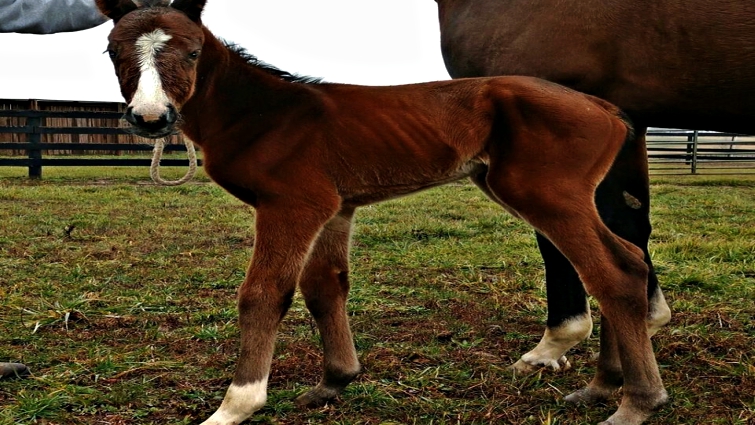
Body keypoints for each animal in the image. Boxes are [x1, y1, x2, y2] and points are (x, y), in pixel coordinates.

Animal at [95, 1, 667, 424]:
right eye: (112, 50)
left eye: (192, 53)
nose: (151, 118)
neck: (265, 114)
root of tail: (608, 110)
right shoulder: (334, 208)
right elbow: (325, 287)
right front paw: (334, 382)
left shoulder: (292, 205)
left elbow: (263, 294)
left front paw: (236, 405)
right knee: (628, 259)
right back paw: (602, 386)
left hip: (547, 192)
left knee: (614, 271)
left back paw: (636, 402)